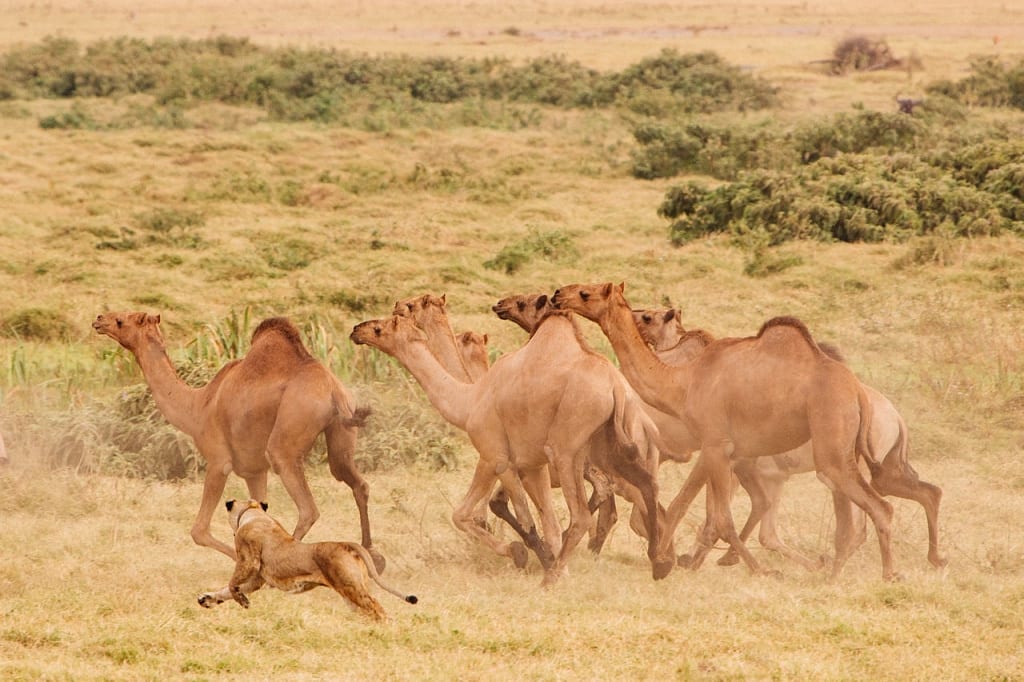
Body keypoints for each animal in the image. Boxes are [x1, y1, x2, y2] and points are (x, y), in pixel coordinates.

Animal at [90, 311, 380, 565]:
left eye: (121, 320)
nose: (99, 319)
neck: (197, 406)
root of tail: (333, 391)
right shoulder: (254, 471)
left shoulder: (219, 462)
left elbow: (200, 530)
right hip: (341, 433)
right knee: (357, 483)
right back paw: (373, 556)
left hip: (287, 438)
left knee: (308, 507)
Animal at [352, 311, 671, 581]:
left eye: (380, 328)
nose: (357, 330)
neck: (468, 401)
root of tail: (617, 387)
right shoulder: (532, 465)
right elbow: (544, 522)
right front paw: (555, 565)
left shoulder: (495, 456)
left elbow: (474, 515)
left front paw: (522, 555)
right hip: (614, 445)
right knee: (649, 487)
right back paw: (659, 563)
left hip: (566, 448)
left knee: (583, 512)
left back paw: (553, 578)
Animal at [557, 280, 901, 577]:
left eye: (586, 293)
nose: (559, 294)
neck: (684, 381)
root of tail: (858, 393)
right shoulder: (729, 453)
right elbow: (714, 513)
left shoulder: (714, 443)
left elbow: (712, 515)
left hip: (833, 446)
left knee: (878, 507)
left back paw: (879, 575)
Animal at [634, 307, 946, 569]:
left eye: (648, 317)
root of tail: (895, 416)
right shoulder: (752, 468)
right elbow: (754, 521)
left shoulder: (722, 454)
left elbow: (710, 511)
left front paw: (693, 558)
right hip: (882, 468)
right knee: (923, 492)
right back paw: (933, 558)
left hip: (846, 464)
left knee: (861, 522)